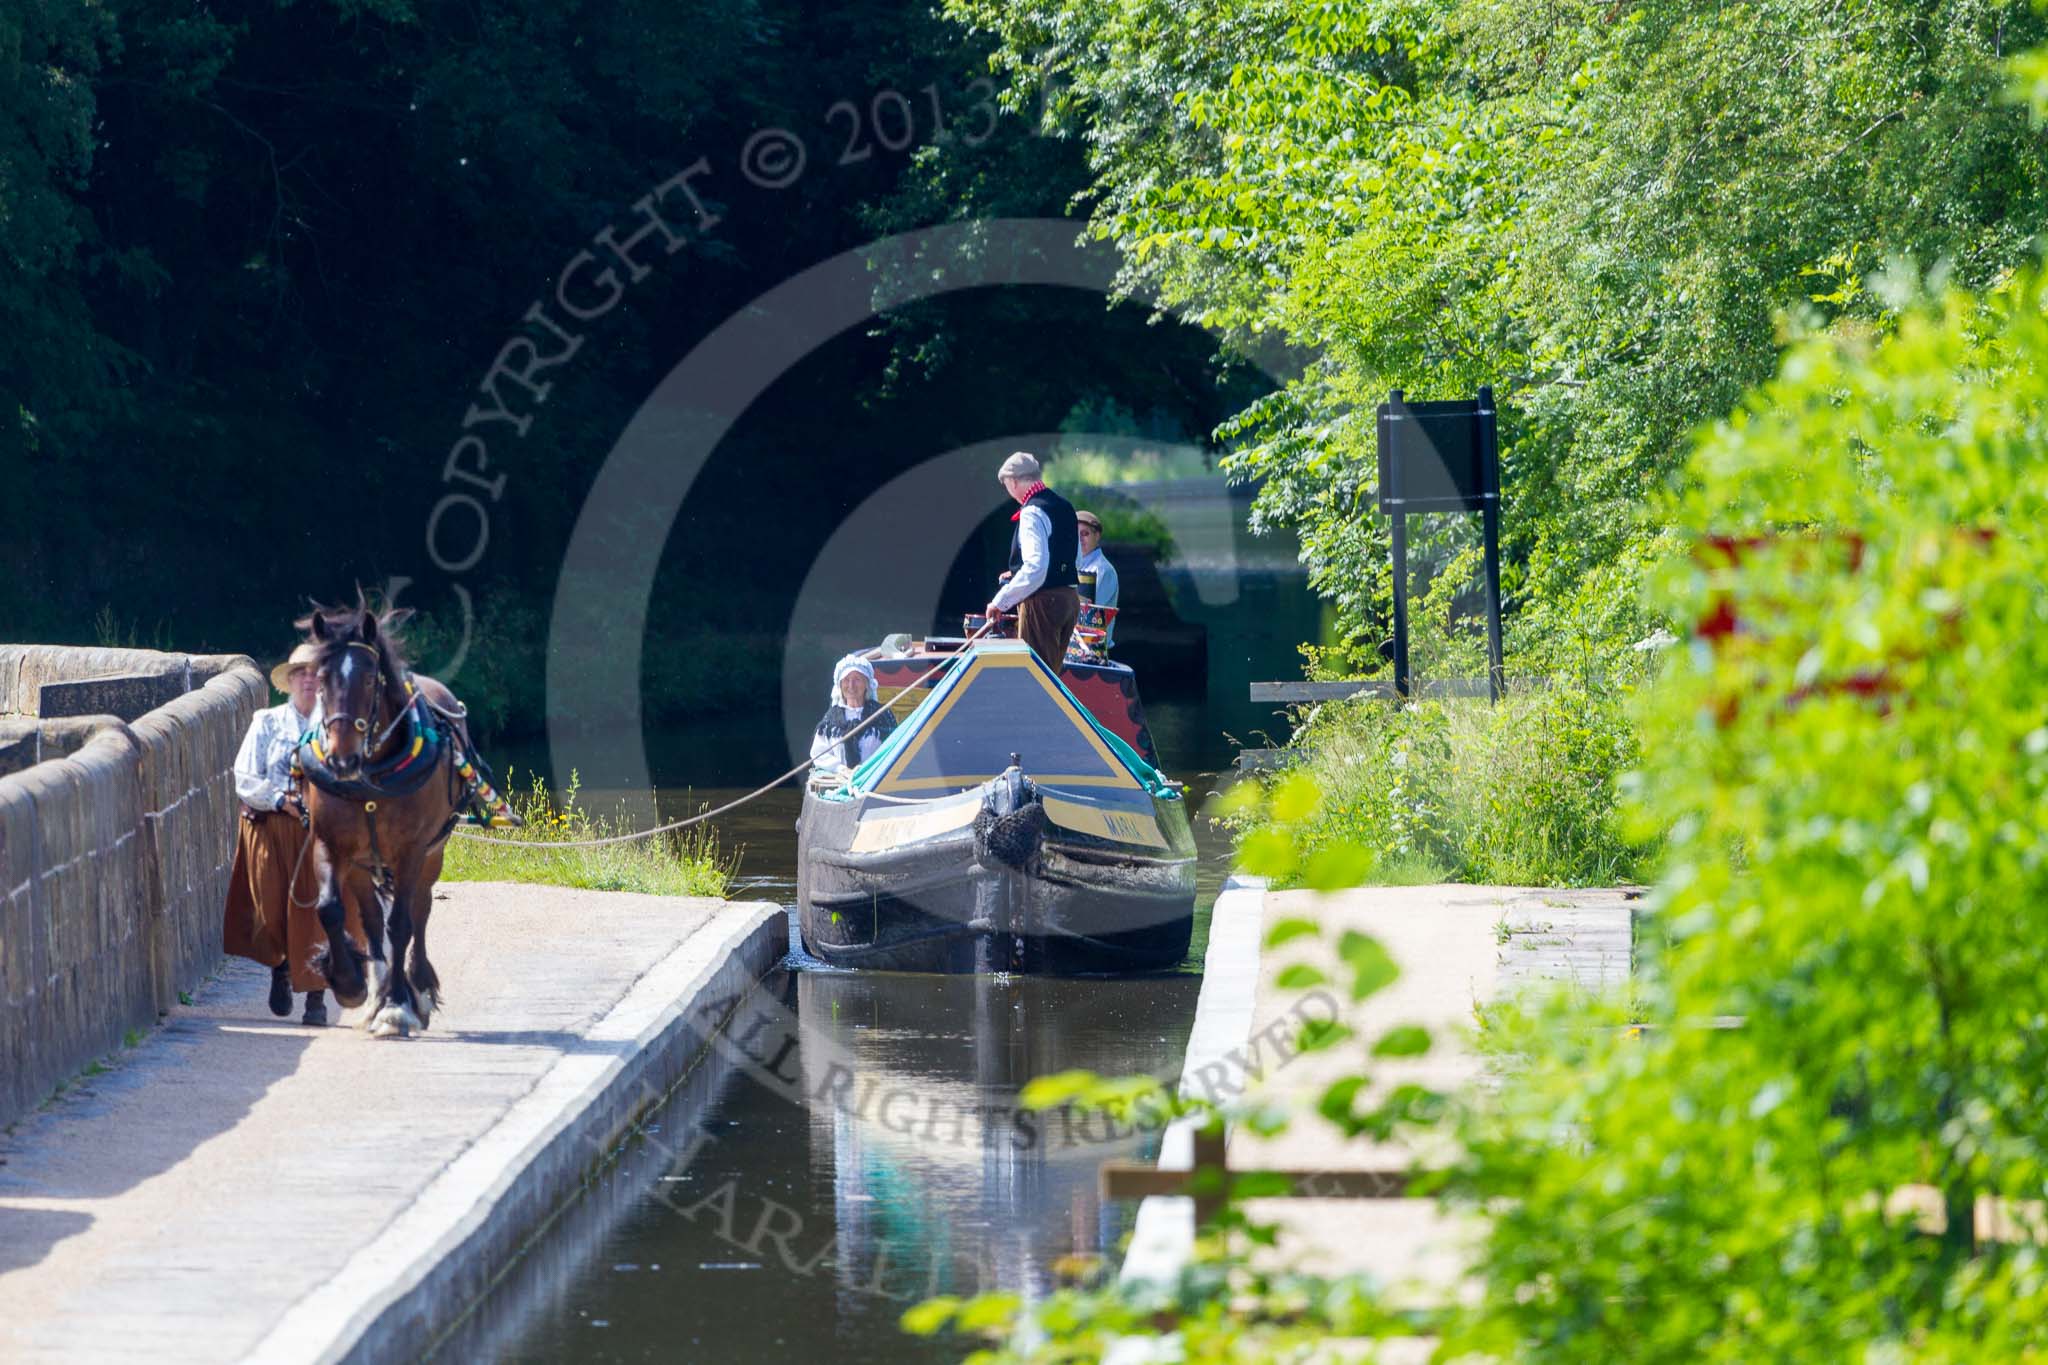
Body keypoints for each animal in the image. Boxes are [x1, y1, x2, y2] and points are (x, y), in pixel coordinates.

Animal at [294, 593, 501, 1035]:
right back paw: (377, 991)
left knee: (419, 911)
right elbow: (331, 910)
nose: (341, 759)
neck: (371, 774)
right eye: (321, 680)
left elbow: (403, 923)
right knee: (372, 919)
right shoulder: (329, 844)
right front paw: (351, 984)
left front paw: (397, 1005)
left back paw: (414, 987)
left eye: (371, 680)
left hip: (433, 852)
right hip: (361, 865)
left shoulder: (412, 851)